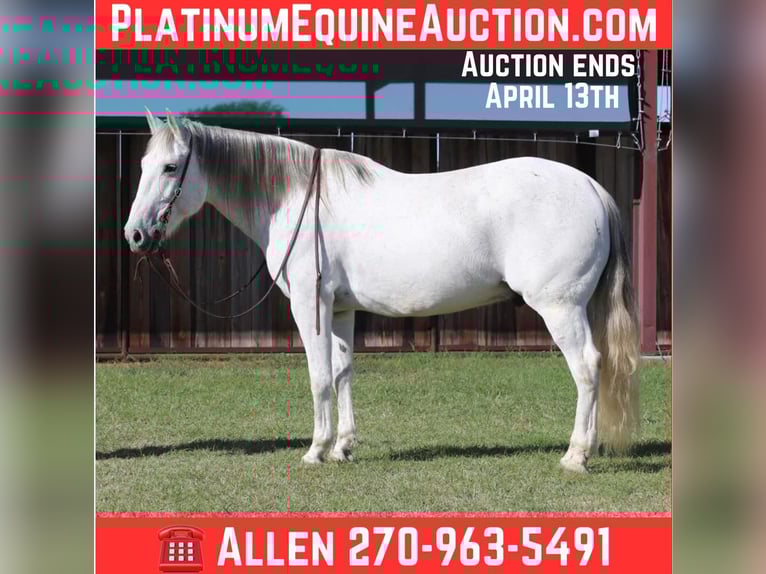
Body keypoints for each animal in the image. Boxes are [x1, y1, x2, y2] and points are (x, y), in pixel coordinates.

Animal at [124, 110, 639, 473]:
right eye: (144, 164)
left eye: (170, 167)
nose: (135, 235)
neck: (294, 197)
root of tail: (591, 186)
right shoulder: (340, 310)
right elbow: (343, 372)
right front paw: (343, 447)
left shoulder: (310, 306)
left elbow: (318, 376)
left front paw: (315, 450)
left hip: (561, 308)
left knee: (587, 368)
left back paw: (575, 456)